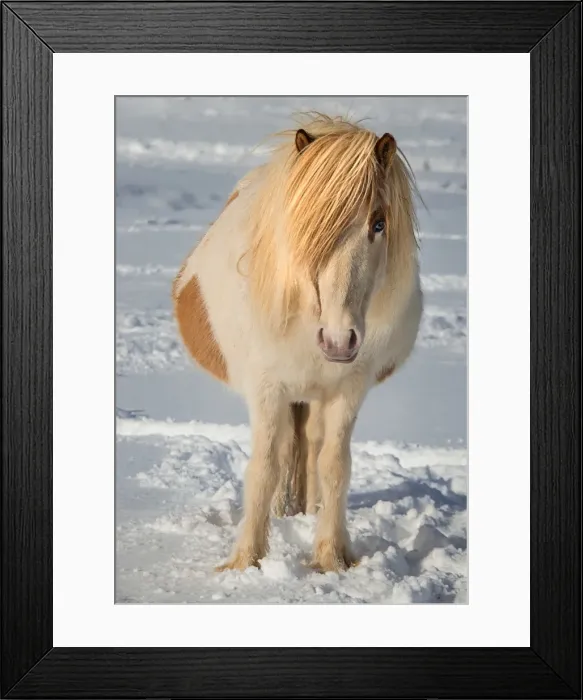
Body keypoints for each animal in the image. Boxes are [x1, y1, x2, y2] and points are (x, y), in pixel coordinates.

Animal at [173, 114, 422, 572]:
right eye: (305, 228)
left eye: (379, 223)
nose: (339, 341)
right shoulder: (267, 389)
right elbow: (264, 467)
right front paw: (245, 560)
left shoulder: (348, 390)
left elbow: (334, 465)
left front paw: (330, 558)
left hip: (315, 396)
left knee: (310, 448)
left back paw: (305, 515)